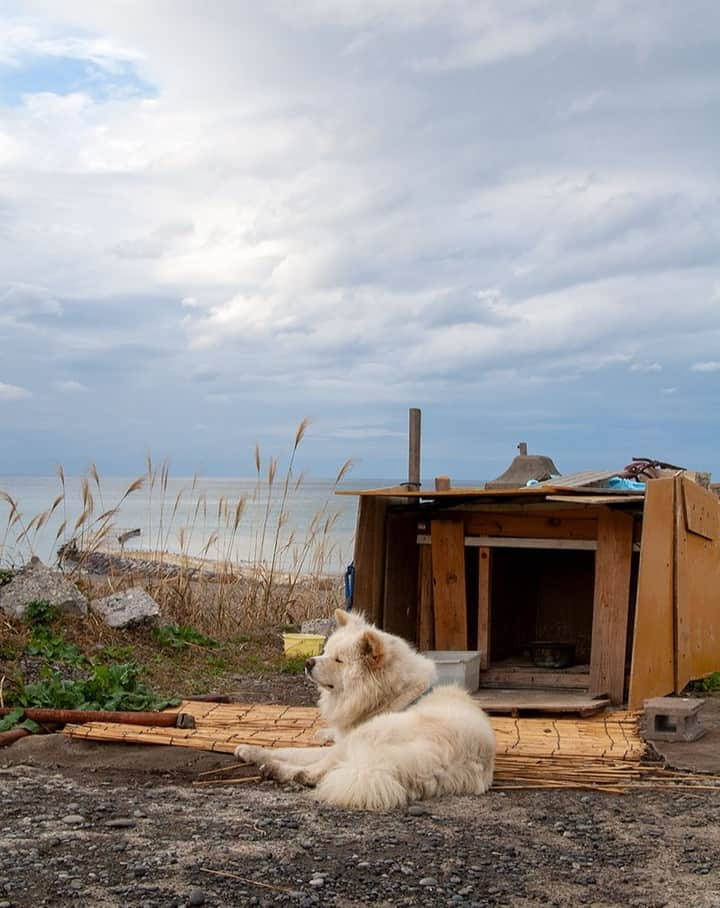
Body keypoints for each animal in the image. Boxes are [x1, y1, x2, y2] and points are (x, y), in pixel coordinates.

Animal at [236, 612, 496, 808]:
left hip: (365, 738)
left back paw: (277, 770)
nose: (308, 662)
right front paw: (249, 750)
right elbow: (288, 748)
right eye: (325, 651)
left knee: (316, 772)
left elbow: (297, 753)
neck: (397, 695)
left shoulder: (346, 740)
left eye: (338, 660)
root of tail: (440, 760)